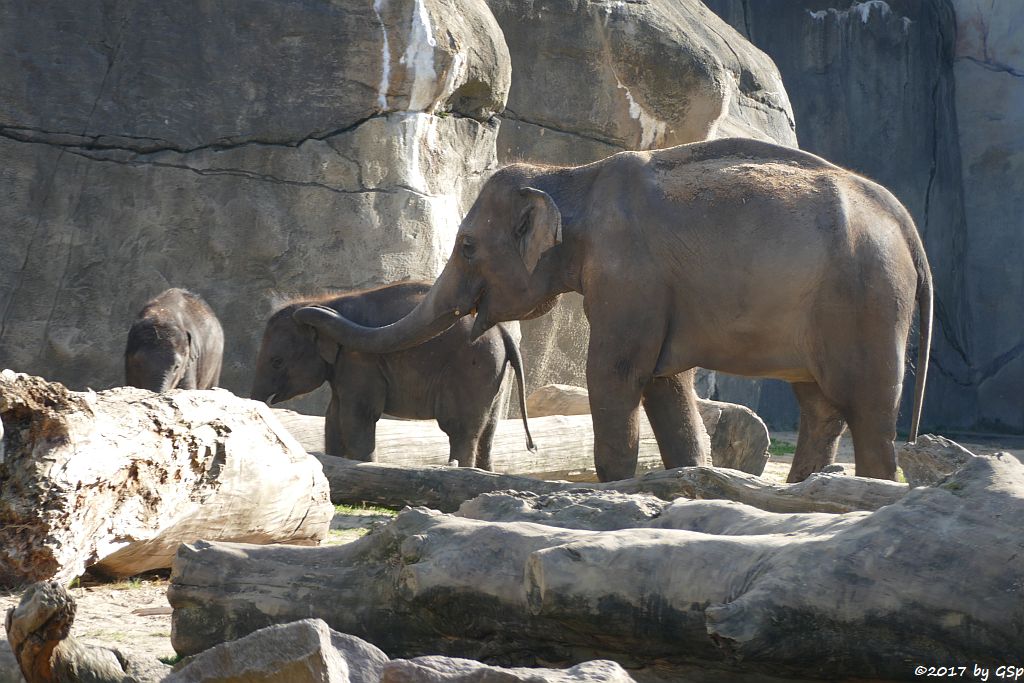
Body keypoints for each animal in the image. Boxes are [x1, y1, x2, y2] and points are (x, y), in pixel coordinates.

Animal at [251, 280, 536, 466]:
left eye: (276, 361)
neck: (326, 303)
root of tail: (502, 332)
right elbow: (334, 414)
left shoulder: (360, 359)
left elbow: (357, 415)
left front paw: (365, 465)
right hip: (497, 376)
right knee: (488, 433)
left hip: (472, 368)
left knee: (461, 430)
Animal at [294, 137, 929, 481]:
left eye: (467, 246)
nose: (305, 312)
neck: (574, 178)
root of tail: (900, 216)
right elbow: (665, 383)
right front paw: (686, 475)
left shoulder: (629, 274)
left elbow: (615, 374)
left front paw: (617, 484)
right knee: (820, 406)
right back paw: (804, 490)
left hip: (868, 299)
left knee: (868, 407)